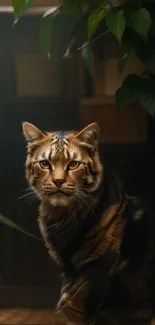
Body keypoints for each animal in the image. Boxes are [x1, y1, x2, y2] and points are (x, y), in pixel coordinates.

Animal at [22, 122, 155, 324]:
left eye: (73, 164)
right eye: (45, 164)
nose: (58, 181)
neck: (63, 215)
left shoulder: (103, 259)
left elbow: (79, 296)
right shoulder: (67, 265)